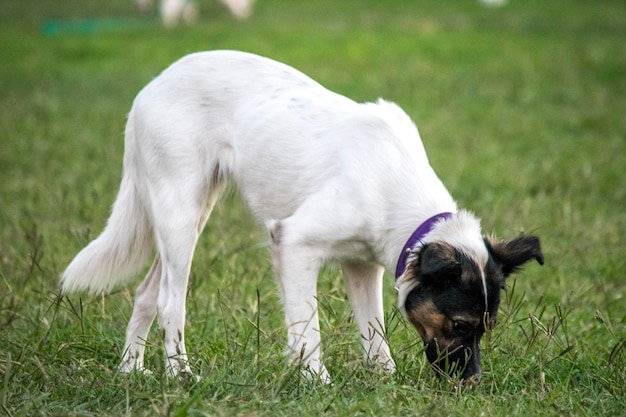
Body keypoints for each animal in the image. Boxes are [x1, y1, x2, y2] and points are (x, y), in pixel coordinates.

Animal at [62, 50, 540, 382]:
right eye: (459, 325)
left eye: (487, 328)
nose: (471, 385)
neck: (392, 182)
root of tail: (152, 86)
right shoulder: (293, 243)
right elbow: (308, 328)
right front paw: (314, 380)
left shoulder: (362, 266)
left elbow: (374, 334)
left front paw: (384, 381)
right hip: (179, 212)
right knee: (168, 302)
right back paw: (180, 374)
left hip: (186, 216)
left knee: (146, 292)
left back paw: (132, 371)